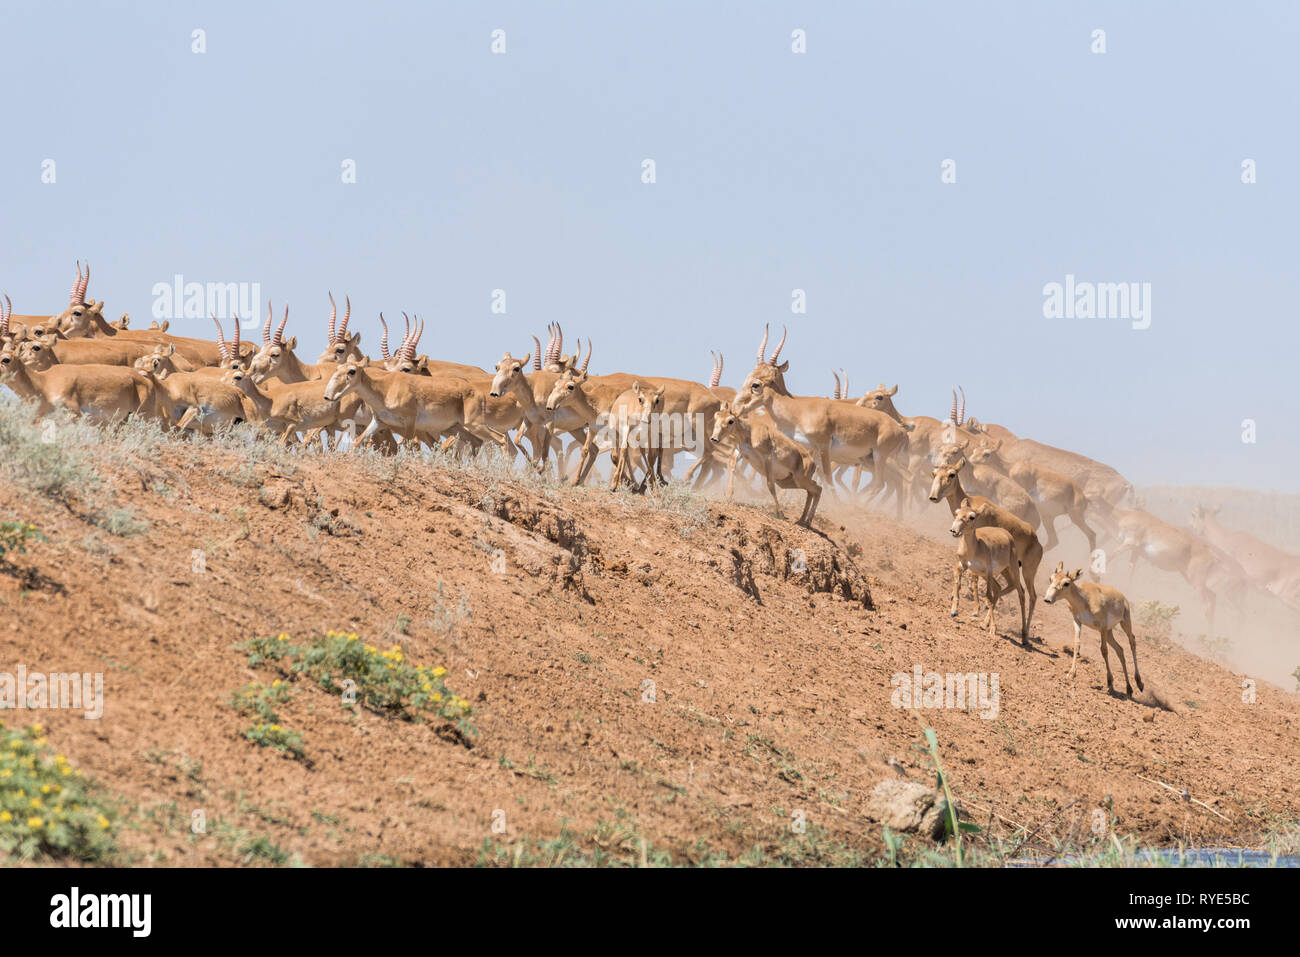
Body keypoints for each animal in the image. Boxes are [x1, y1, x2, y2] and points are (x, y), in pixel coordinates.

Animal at [738, 323, 909, 514]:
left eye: (756, 384)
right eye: (750, 374)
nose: (739, 407)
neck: (799, 408)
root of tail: (900, 428)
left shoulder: (823, 447)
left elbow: (827, 478)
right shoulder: (811, 449)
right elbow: (817, 476)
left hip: (879, 457)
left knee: (880, 483)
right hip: (869, 459)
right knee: (891, 481)